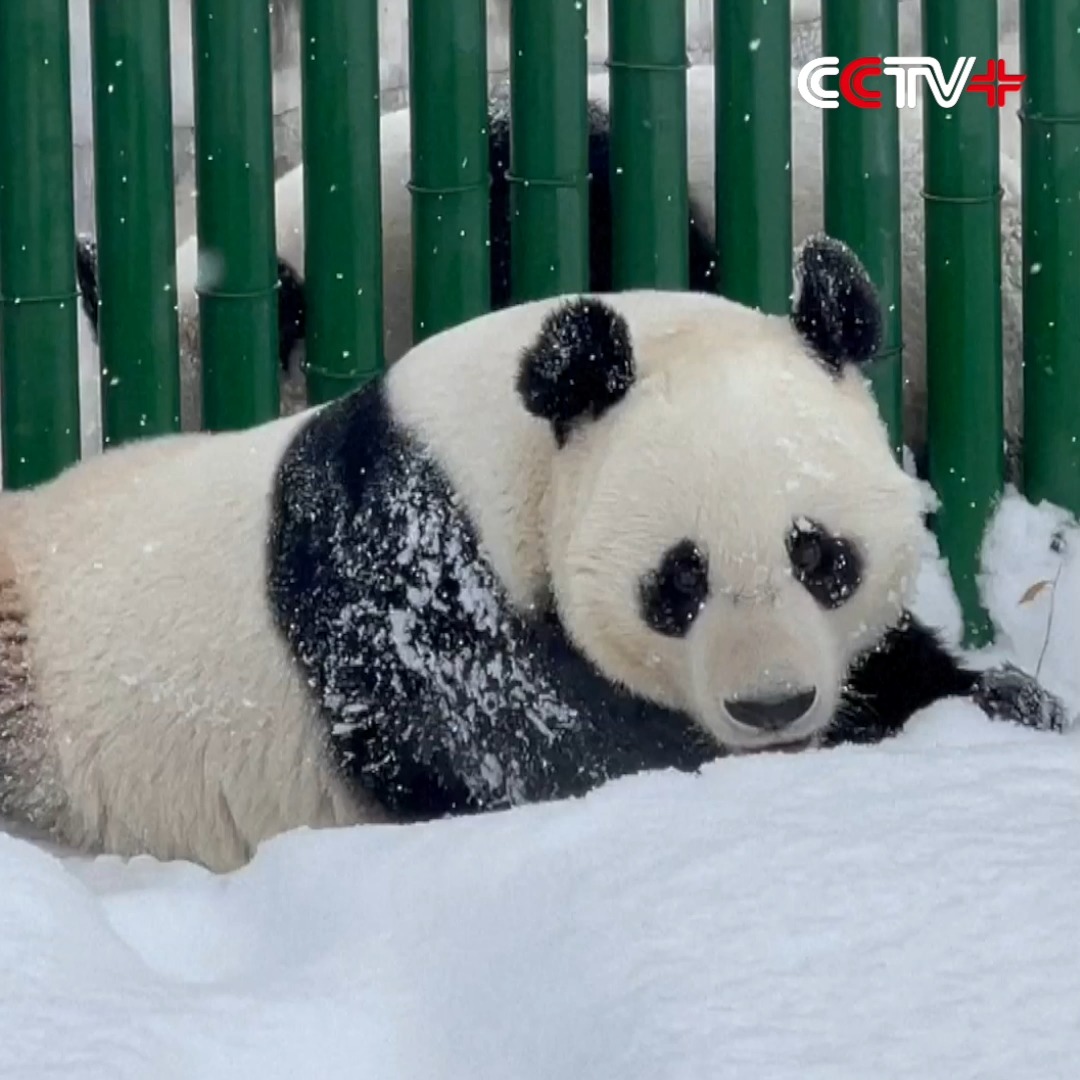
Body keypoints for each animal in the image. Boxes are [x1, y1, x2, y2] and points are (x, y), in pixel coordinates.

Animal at [0, 235, 1066, 873]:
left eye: (821, 557)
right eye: (679, 580)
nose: (772, 706)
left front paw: (1010, 702)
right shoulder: (412, 573)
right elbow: (543, 750)